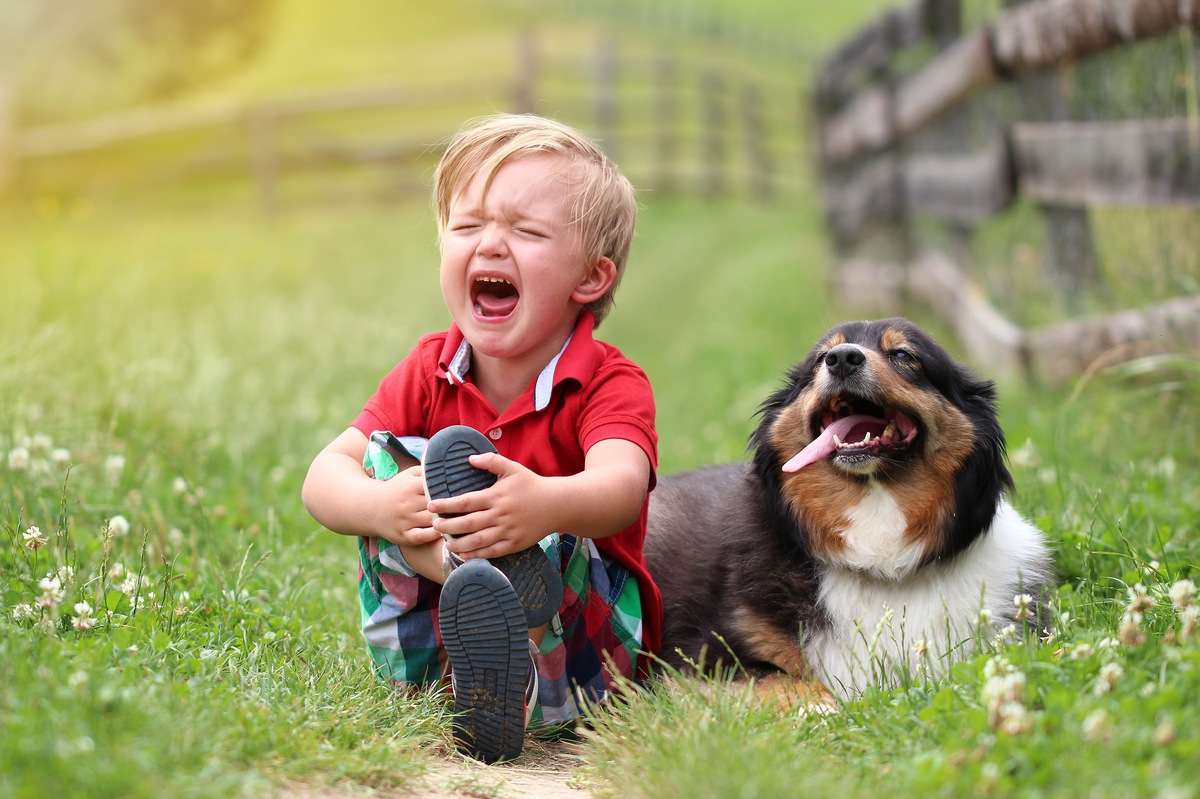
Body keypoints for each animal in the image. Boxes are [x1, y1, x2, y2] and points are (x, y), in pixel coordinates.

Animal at [648, 316, 1051, 695]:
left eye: (903, 355)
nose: (841, 359)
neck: (879, 559)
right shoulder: (704, 658)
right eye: (819, 359)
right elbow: (801, 687)